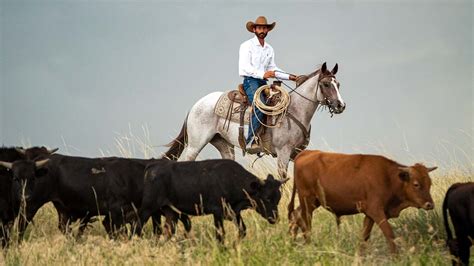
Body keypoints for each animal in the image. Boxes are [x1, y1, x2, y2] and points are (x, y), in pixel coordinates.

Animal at [0, 155, 190, 238]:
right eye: (16, 179)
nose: (25, 195)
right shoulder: (116, 212)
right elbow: (117, 231)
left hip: (61, 209)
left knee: (63, 227)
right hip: (32, 206)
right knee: (22, 226)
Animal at [137, 159, 288, 242]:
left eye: (278, 198)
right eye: (267, 198)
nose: (275, 218)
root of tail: (153, 165)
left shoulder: (234, 212)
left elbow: (242, 230)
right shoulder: (217, 211)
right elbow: (220, 234)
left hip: (171, 212)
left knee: (167, 232)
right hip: (148, 208)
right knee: (137, 227)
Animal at [165, 62, 346, 179]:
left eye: (337, 84)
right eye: (325, 84)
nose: (341, 105)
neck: (295, 110)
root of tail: (195, 105)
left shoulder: (296, 153)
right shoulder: (283, 152)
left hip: (224, 145)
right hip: (195, 145)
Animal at [286, 151, 436, 252]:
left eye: (430, 183)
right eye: (416, 184)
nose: (430, 204)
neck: (388, 178)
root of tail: (307, 152)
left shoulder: (370, 214)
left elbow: (364, 236)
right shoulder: (376, 211)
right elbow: (389, 234)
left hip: (313, 202)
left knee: (296, 215)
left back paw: (292, 242)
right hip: (307, 201)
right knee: (305, 223)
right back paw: (308, 244)